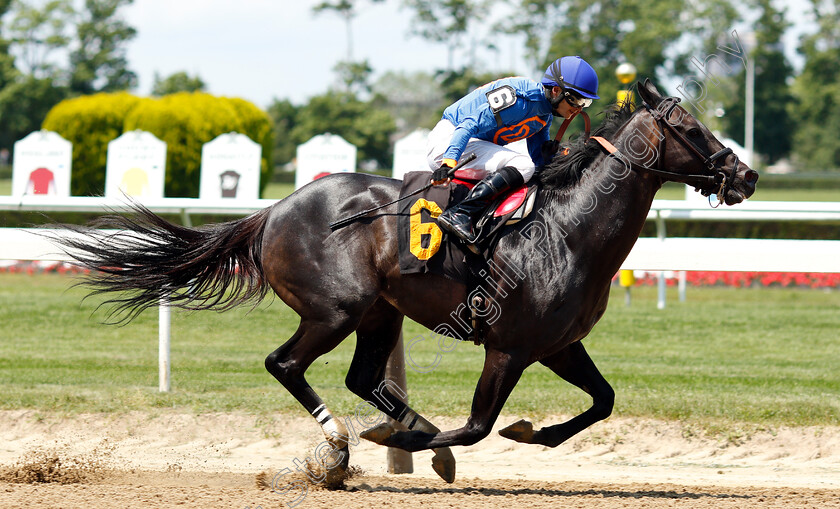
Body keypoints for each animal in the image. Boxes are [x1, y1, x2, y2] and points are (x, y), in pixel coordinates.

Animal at [55, 81, 756, 482]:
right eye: (689, 128)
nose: (745, 175)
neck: (568, 230)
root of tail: (273, 211)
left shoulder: (557, 344)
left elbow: (603, 400)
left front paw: (528, 432)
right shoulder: (508, 346)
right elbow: (475, 425)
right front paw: (426, 443)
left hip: (379, 312)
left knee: (362, 377)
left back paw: (388, 428)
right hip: (335, 309)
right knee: (286, 364)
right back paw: (341, 447)